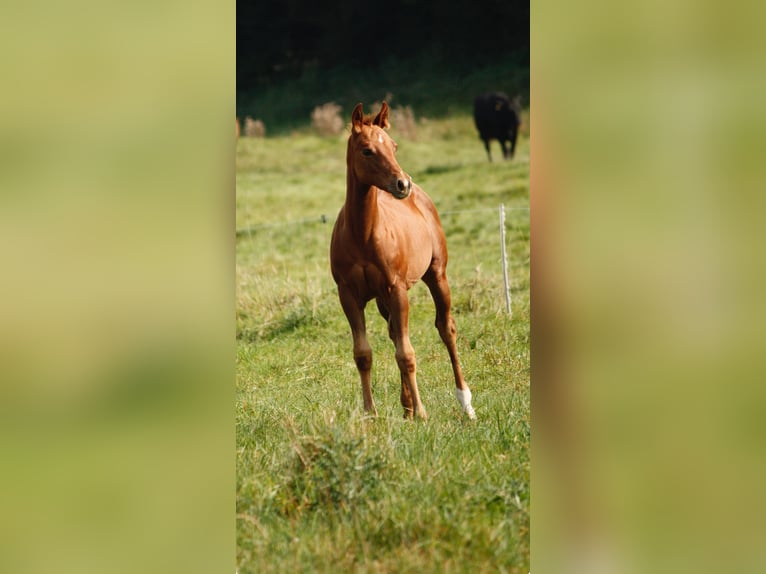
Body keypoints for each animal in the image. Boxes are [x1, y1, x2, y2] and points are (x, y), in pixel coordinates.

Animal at [332, 101, 476, 420]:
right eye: (367, 150)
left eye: (394, 146)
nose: (402, 184)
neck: (363, 234)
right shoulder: (348, 295)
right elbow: (363, 354)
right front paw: (370, 412)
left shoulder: (397, 289)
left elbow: (406, 354)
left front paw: (422, 413)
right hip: (383, 299)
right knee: (394, 334)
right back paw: (406, 405)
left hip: (436, 275)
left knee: (446, 328)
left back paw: (465, 403)